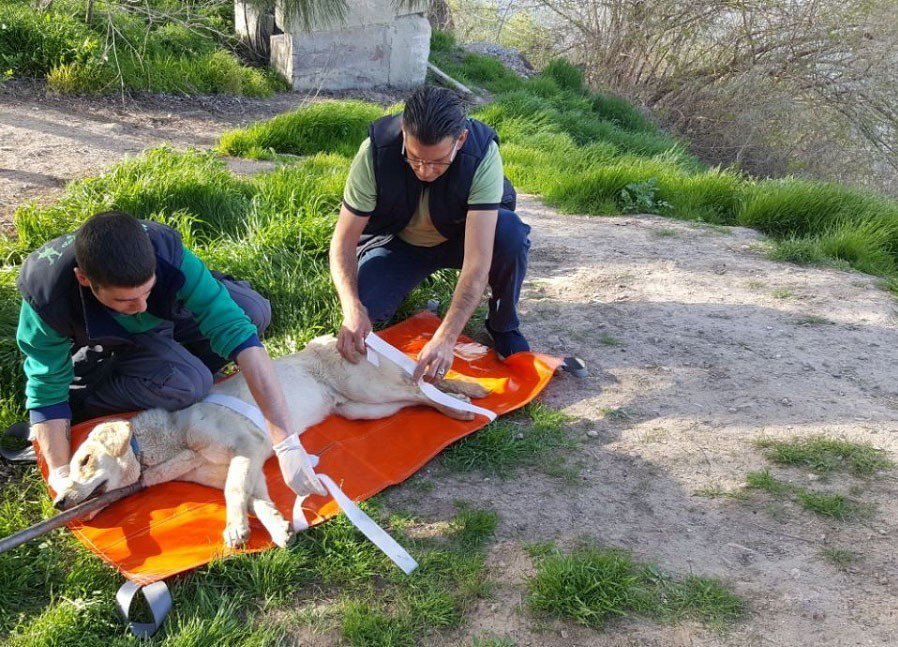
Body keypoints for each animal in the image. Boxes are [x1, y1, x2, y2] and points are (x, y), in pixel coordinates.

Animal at [54, 336, 490, 548]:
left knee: (420, 388)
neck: (172, 444)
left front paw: (234, 530)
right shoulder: (253, 466)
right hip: (362, 409)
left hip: (368, 389)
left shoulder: (245, 448)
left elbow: (233, 492)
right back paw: (461, 401)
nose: (58, 503)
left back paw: (462, 404)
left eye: (85, 460)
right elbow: (256, 499)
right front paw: (278, 528)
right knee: (416, 395)